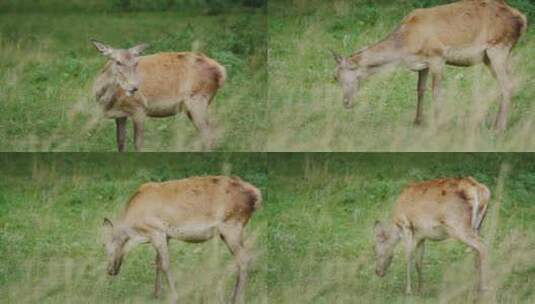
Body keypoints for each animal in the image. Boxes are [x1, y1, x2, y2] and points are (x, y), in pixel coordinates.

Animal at [92, 39, 226, 151]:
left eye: (136, 63)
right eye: (118, 62)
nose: (134, 87)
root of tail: (221, 70)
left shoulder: (139, 108)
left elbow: (138, 144)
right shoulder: (120, 114)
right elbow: (120, 142)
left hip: (198, 99)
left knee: (209, 135)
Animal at [102, 176, 262, 304]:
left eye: (106, 247)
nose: (109, 270)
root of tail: (256, 195)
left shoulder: (156, 231)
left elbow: (165, 264)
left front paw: (174, 296)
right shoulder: (165, 236)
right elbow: (158, 262)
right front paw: (156, 294)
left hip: (231, 226)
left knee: (244, 258)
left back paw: (237, 299)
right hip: (233, 231)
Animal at [330, 0, 528, 131]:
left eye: (339, 75)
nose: (346, 102)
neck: (407, 45)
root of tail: (522, 20)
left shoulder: (437, 56)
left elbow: (436, 91)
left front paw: (438, 124)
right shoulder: (422, 63)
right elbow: (420, 89)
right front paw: (417, 121)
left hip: (498, 48)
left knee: (507, 85)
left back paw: (500, 128)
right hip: (492, 57)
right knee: (508, 83)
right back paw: (495, 124)